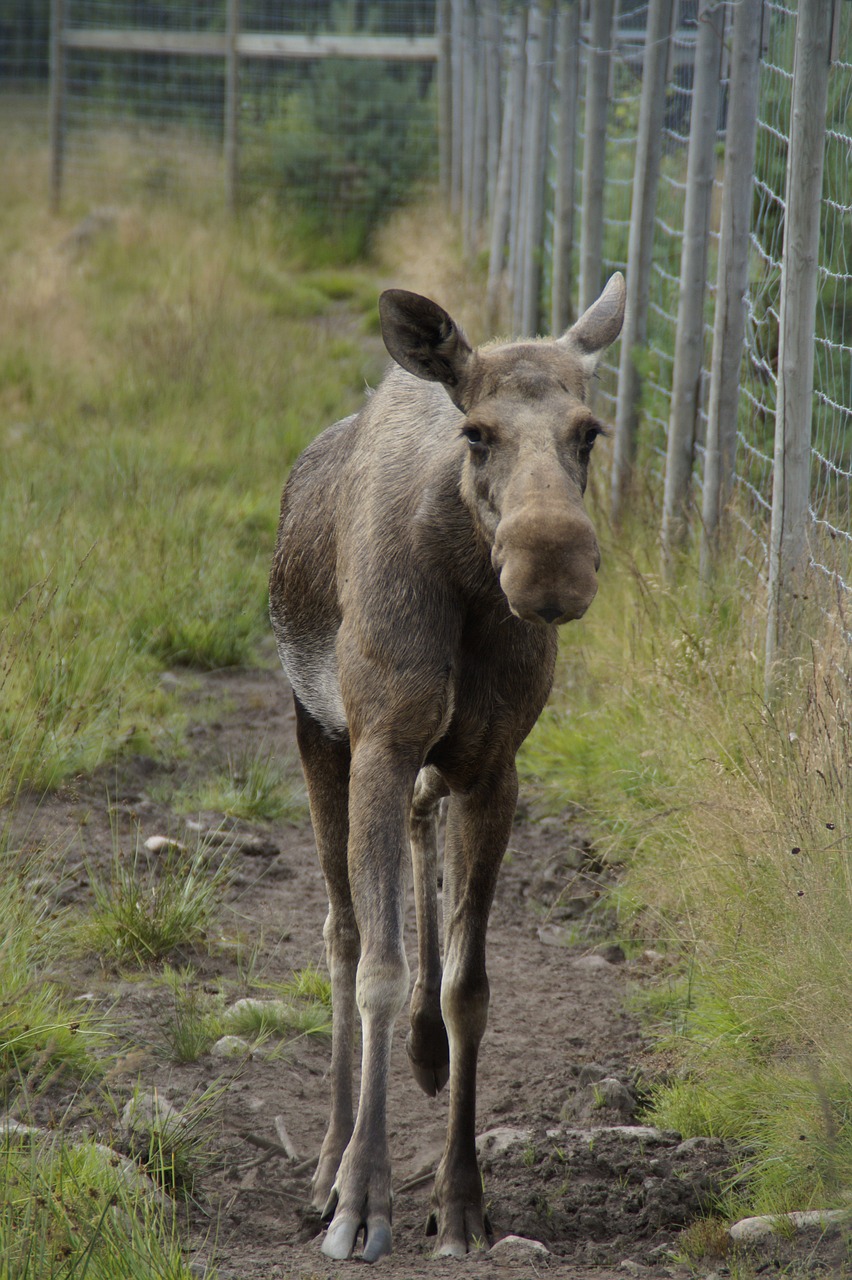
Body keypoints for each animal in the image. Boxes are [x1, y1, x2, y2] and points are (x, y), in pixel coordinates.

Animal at [269, 272, 624, 1259]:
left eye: (589, 430)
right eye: (478, 432)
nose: (552, 564)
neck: (467, 579)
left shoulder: (493, 765)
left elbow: (469, 986)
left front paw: (460, 1201)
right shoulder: (380, 744)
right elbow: (378, 969)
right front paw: (362, 1198)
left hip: (432, 763)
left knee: (421, 858)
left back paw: (422, 1059)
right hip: (320, 736)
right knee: (341, 931)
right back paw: (325, 1159)